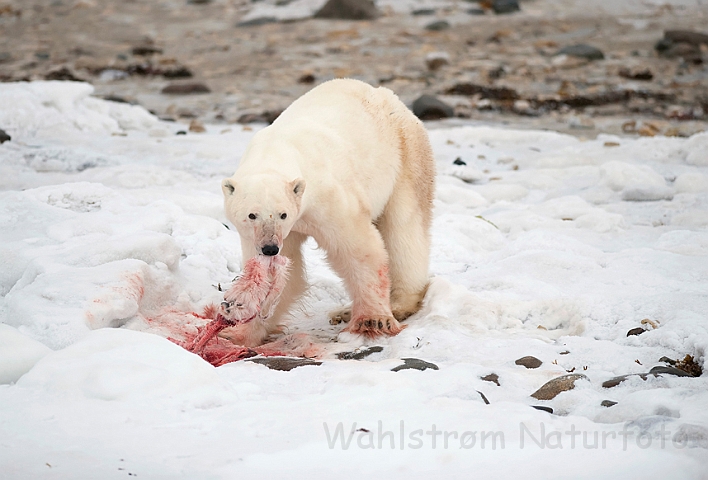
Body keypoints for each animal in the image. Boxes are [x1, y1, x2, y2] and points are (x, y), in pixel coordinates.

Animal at [221, 80, 434, 346]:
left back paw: (396, 304)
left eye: (283, 214)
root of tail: (387, 95)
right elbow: (279, 274)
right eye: (252, 215)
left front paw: (373, 320)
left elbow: (357, 248)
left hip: (405, 154)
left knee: (404, 228)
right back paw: (345, 311)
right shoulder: (266, 235)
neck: (275, 151)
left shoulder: (326, 198)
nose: (270, 248)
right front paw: (239, 331)